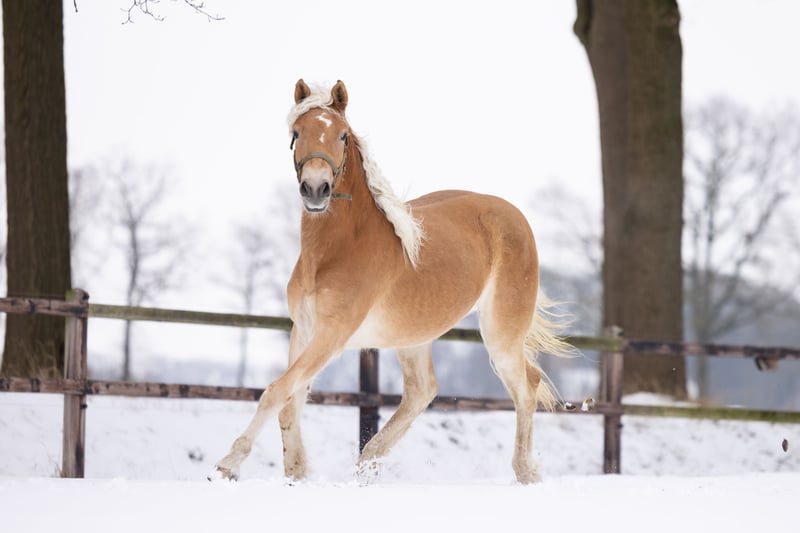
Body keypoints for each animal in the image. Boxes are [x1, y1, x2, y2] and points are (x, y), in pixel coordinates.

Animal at [213, 79, 573, 484]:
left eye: (342, 136)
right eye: (296, 134)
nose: (316, 189)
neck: (336, 251)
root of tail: (514, 215)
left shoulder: (332, 334)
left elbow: (277, 392)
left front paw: (228, 465)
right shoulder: (304, 330)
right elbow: (291, 400)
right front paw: (297, 473)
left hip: (501, 333)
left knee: (526, 386)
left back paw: (525, 472)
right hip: (413, 336)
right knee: (422, 391)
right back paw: (367, 464)